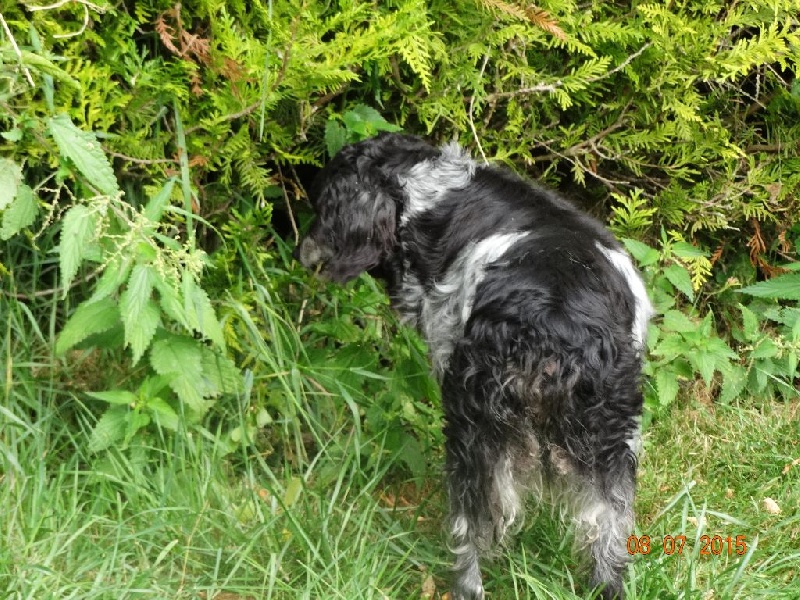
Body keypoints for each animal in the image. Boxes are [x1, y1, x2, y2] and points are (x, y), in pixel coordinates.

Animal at [295, 133, 652, 599]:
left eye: (321, 207)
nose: (301, 252)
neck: (434, 193)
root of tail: (556, 321)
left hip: (475, 433)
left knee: (471, 531)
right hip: (613, 440)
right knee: (609, 535)